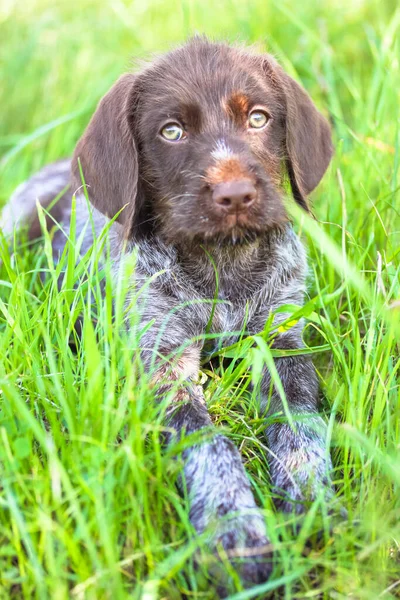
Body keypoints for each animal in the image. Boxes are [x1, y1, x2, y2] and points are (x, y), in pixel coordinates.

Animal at [3, 37, 334, 592]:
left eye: (259, 118)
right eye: (171, 131)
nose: (235, 195)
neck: (222, 264)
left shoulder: (281, 338)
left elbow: (301, 420)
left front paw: (310, 495)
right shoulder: (163, 356)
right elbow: (207, 442)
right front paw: (234, 533)